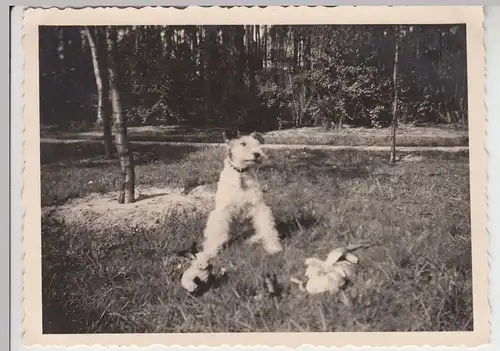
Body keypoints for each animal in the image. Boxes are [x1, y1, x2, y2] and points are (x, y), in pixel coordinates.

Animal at [194, 130, 284, 266]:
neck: (241, 174)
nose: (258, 154)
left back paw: (252, 241)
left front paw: (274, 247)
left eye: (257, 143)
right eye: (243, 143)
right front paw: (208, 254)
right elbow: (215, 235)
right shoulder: (222, 210)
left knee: (258, 232)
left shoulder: (258, 206)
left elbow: (267, 228)